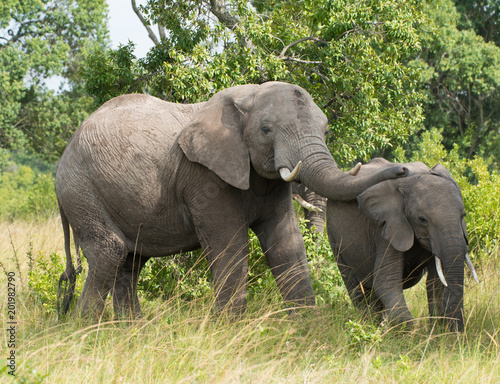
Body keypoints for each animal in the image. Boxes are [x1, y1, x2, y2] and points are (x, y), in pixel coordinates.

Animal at [54, 82, 406, 320]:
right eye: (266, 130)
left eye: (326, 129)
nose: (401, 169)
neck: (249, 96)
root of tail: (64, 155)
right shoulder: (205, 177)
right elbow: (230, 246)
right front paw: (229, 329)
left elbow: (286, 243)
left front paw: (307, 326)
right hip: (81, 189)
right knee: (110, 251)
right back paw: (87, 332)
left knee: (131, 261)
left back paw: (131, 331)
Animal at [326, 158, 478, 332]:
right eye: (422, 219)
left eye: (463, 215)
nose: (459, 332)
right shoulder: (387, 226)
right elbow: (386, 280)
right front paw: (407, 330)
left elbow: (435, 284)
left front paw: (439, 332)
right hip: (334, 236)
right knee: (355, 285)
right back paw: (368, 323)